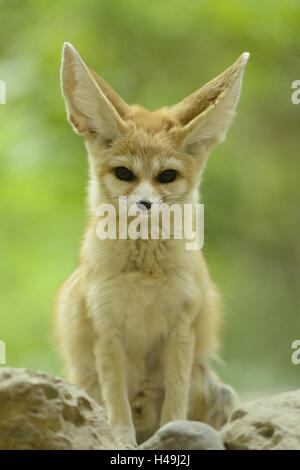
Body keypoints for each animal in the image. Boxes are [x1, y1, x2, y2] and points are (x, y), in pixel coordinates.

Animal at [54, 44, 248, 448]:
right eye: (124, 174)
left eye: (166, 176)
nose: (144, 204)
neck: (144, 273)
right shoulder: (106, 330)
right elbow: (117, 406)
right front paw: (122, 442)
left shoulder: (182, 328)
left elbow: (174, 403)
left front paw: (174, 434)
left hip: (220, 391)